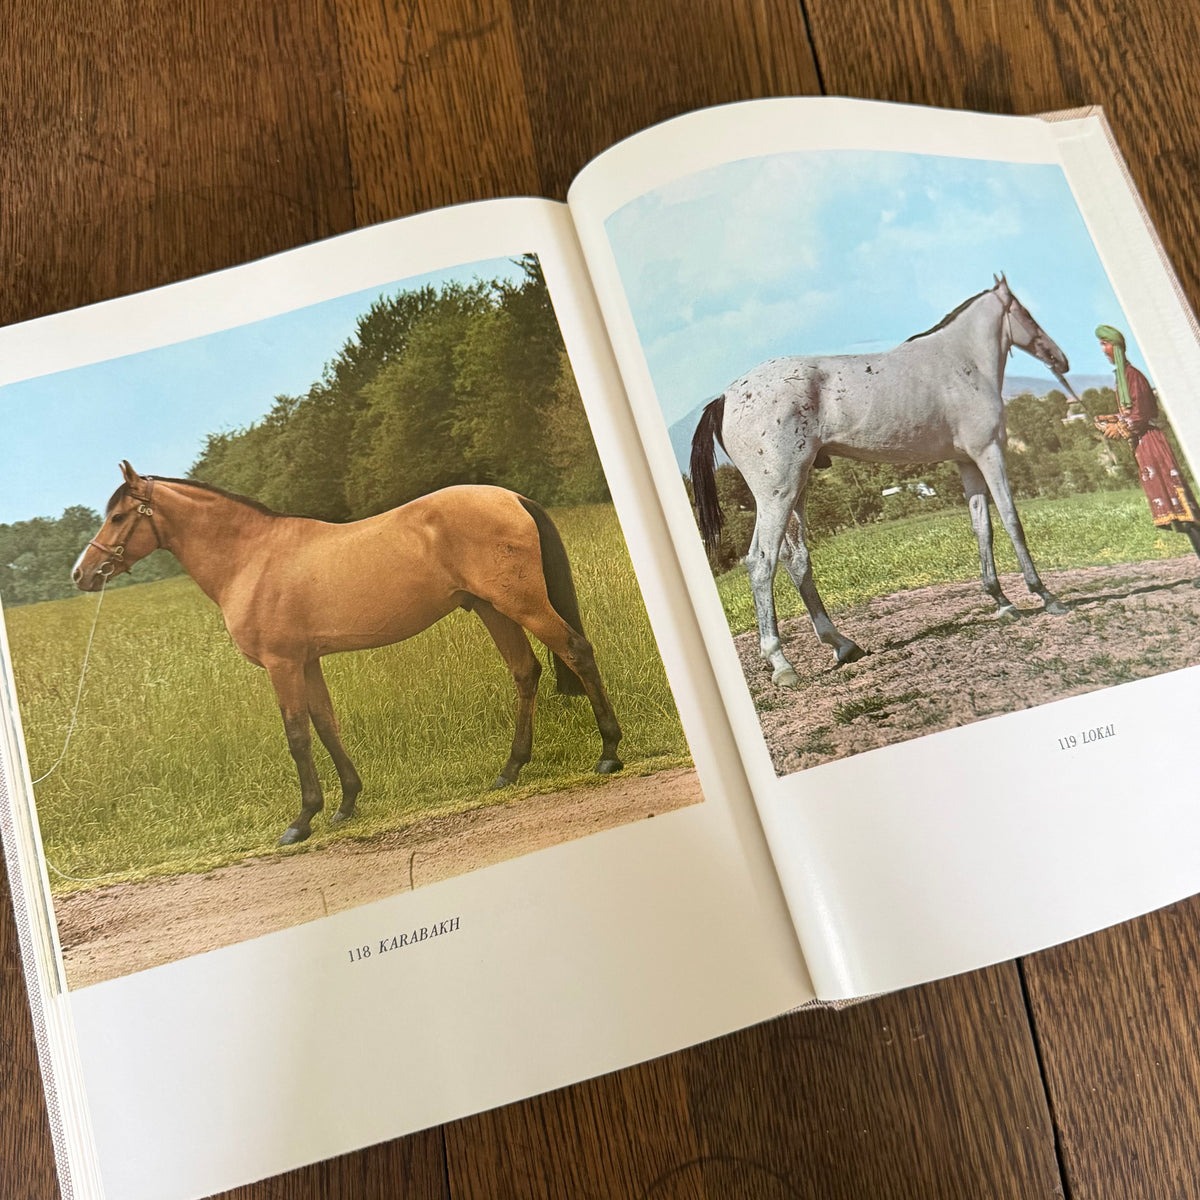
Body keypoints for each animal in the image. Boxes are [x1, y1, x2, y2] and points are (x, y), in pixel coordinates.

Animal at [72, 464, 623, 845]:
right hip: (493, 609)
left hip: (521, 604)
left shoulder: (282, 664)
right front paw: (346, 804)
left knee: (577, 652)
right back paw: (510, 770)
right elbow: (325, 722)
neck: (253, 558)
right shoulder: (307, 661)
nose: (82, 574)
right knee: (525, 672)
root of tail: (511, 496)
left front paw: (301, 821)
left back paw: (609, 752)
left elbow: (297, 735)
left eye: (118, 516)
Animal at [690, 275, 1072, 688]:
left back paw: (842, 644)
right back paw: (782, 664)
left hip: (797, 489)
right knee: (762, 561)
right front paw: (1046, 596)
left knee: (796, 559)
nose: (1060, 358)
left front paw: (1002, 602)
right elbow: (1012, 521)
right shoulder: (989, 453)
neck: (962, 361)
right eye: (1026, 313)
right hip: (777, 492)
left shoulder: (967, 463)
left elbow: (982, 527)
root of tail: (725, 398)